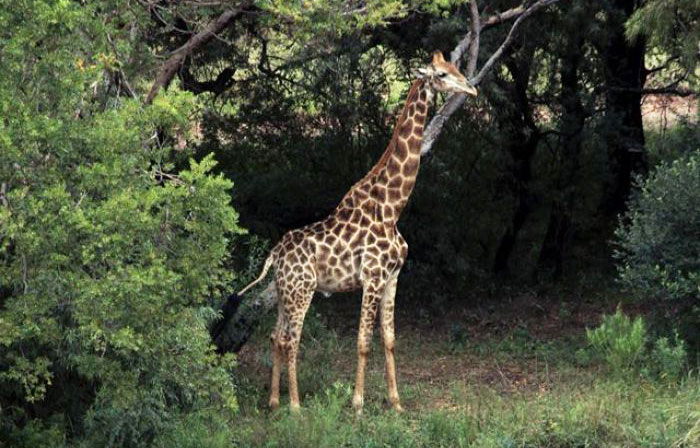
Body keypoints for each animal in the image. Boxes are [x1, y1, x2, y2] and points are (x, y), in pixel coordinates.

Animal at [237, 51, 477, 414]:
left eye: (456, 68)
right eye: (441, 74)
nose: (471, 89)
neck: (391, 208)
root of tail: (274, 255)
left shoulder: (393, 277)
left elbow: (390, 339)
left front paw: (396, 403)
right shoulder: (373, 277)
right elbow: (364, 342)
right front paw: (358, 404)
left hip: (283, 292)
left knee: (276, 337)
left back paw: (275, 400)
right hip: (302, 290)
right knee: (291, 339)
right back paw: (295, 406)